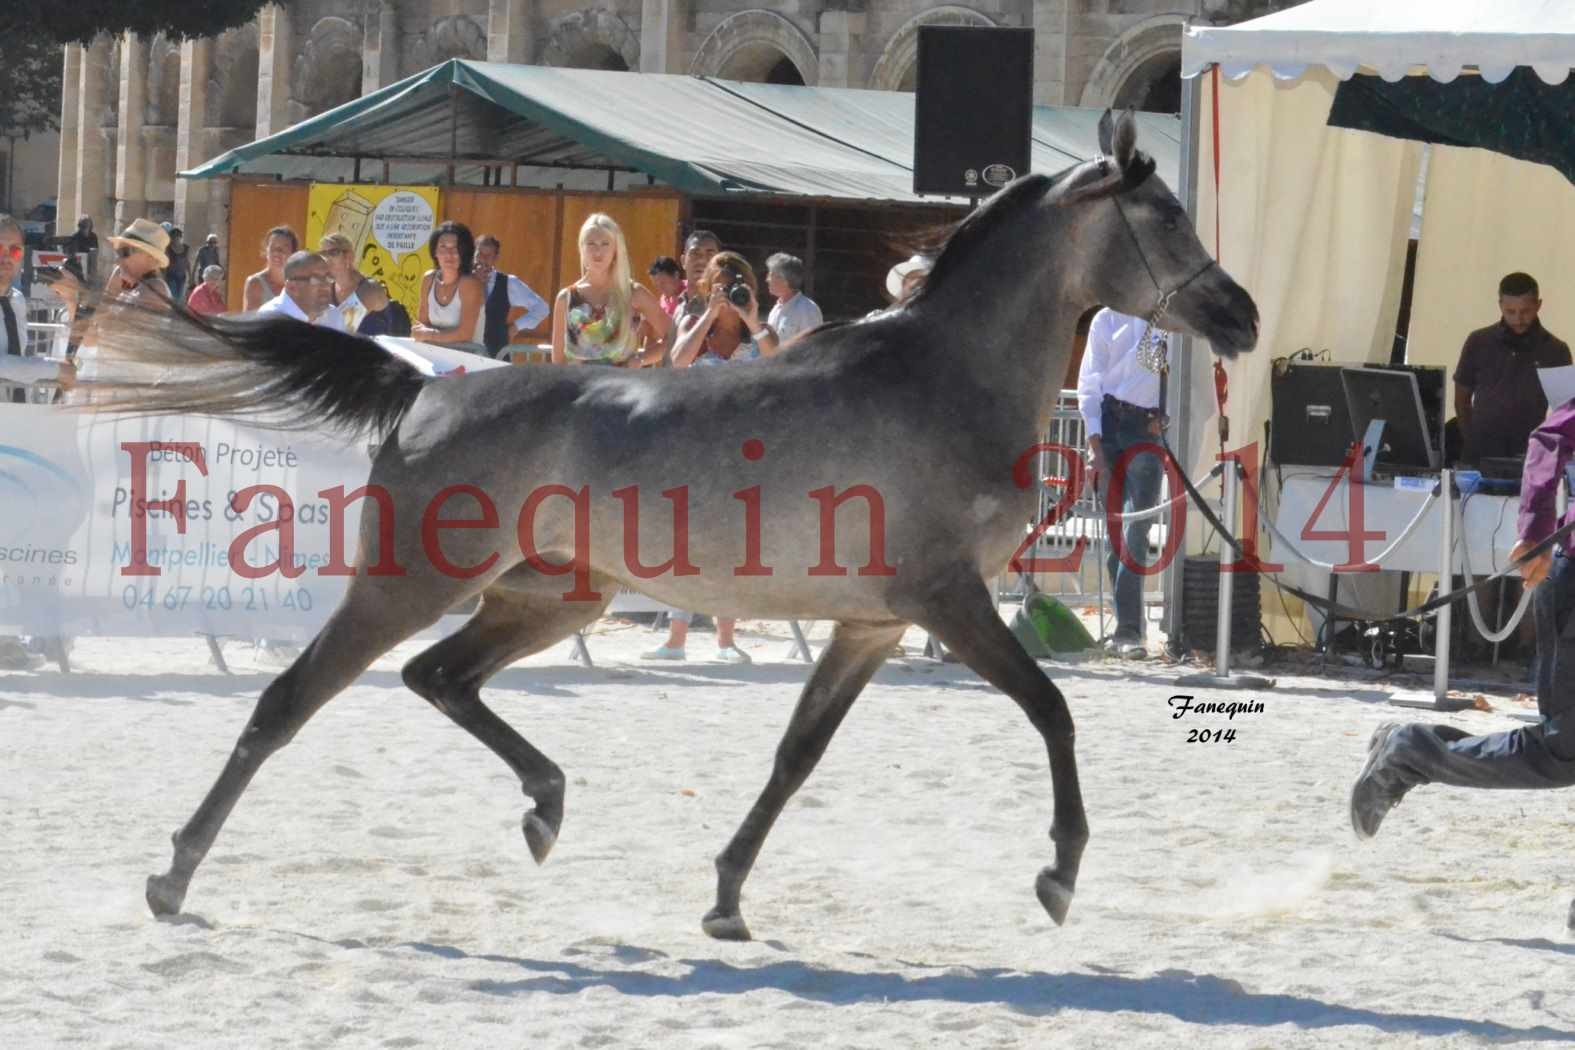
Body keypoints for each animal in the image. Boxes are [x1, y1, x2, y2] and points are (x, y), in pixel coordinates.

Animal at [95, 110, 1253, 938]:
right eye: (1166, 217)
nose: (1239, 313)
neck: (939, 378)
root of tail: (424, 387)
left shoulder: (873, 623)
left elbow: (797, 754)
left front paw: (728, 895)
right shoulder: (949, 601)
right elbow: (1052, 711)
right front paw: (1059, 873)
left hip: (555, 598)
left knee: (441, 678)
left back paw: (545, 807)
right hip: (408, 584)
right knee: (289, 703)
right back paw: (171, 876)